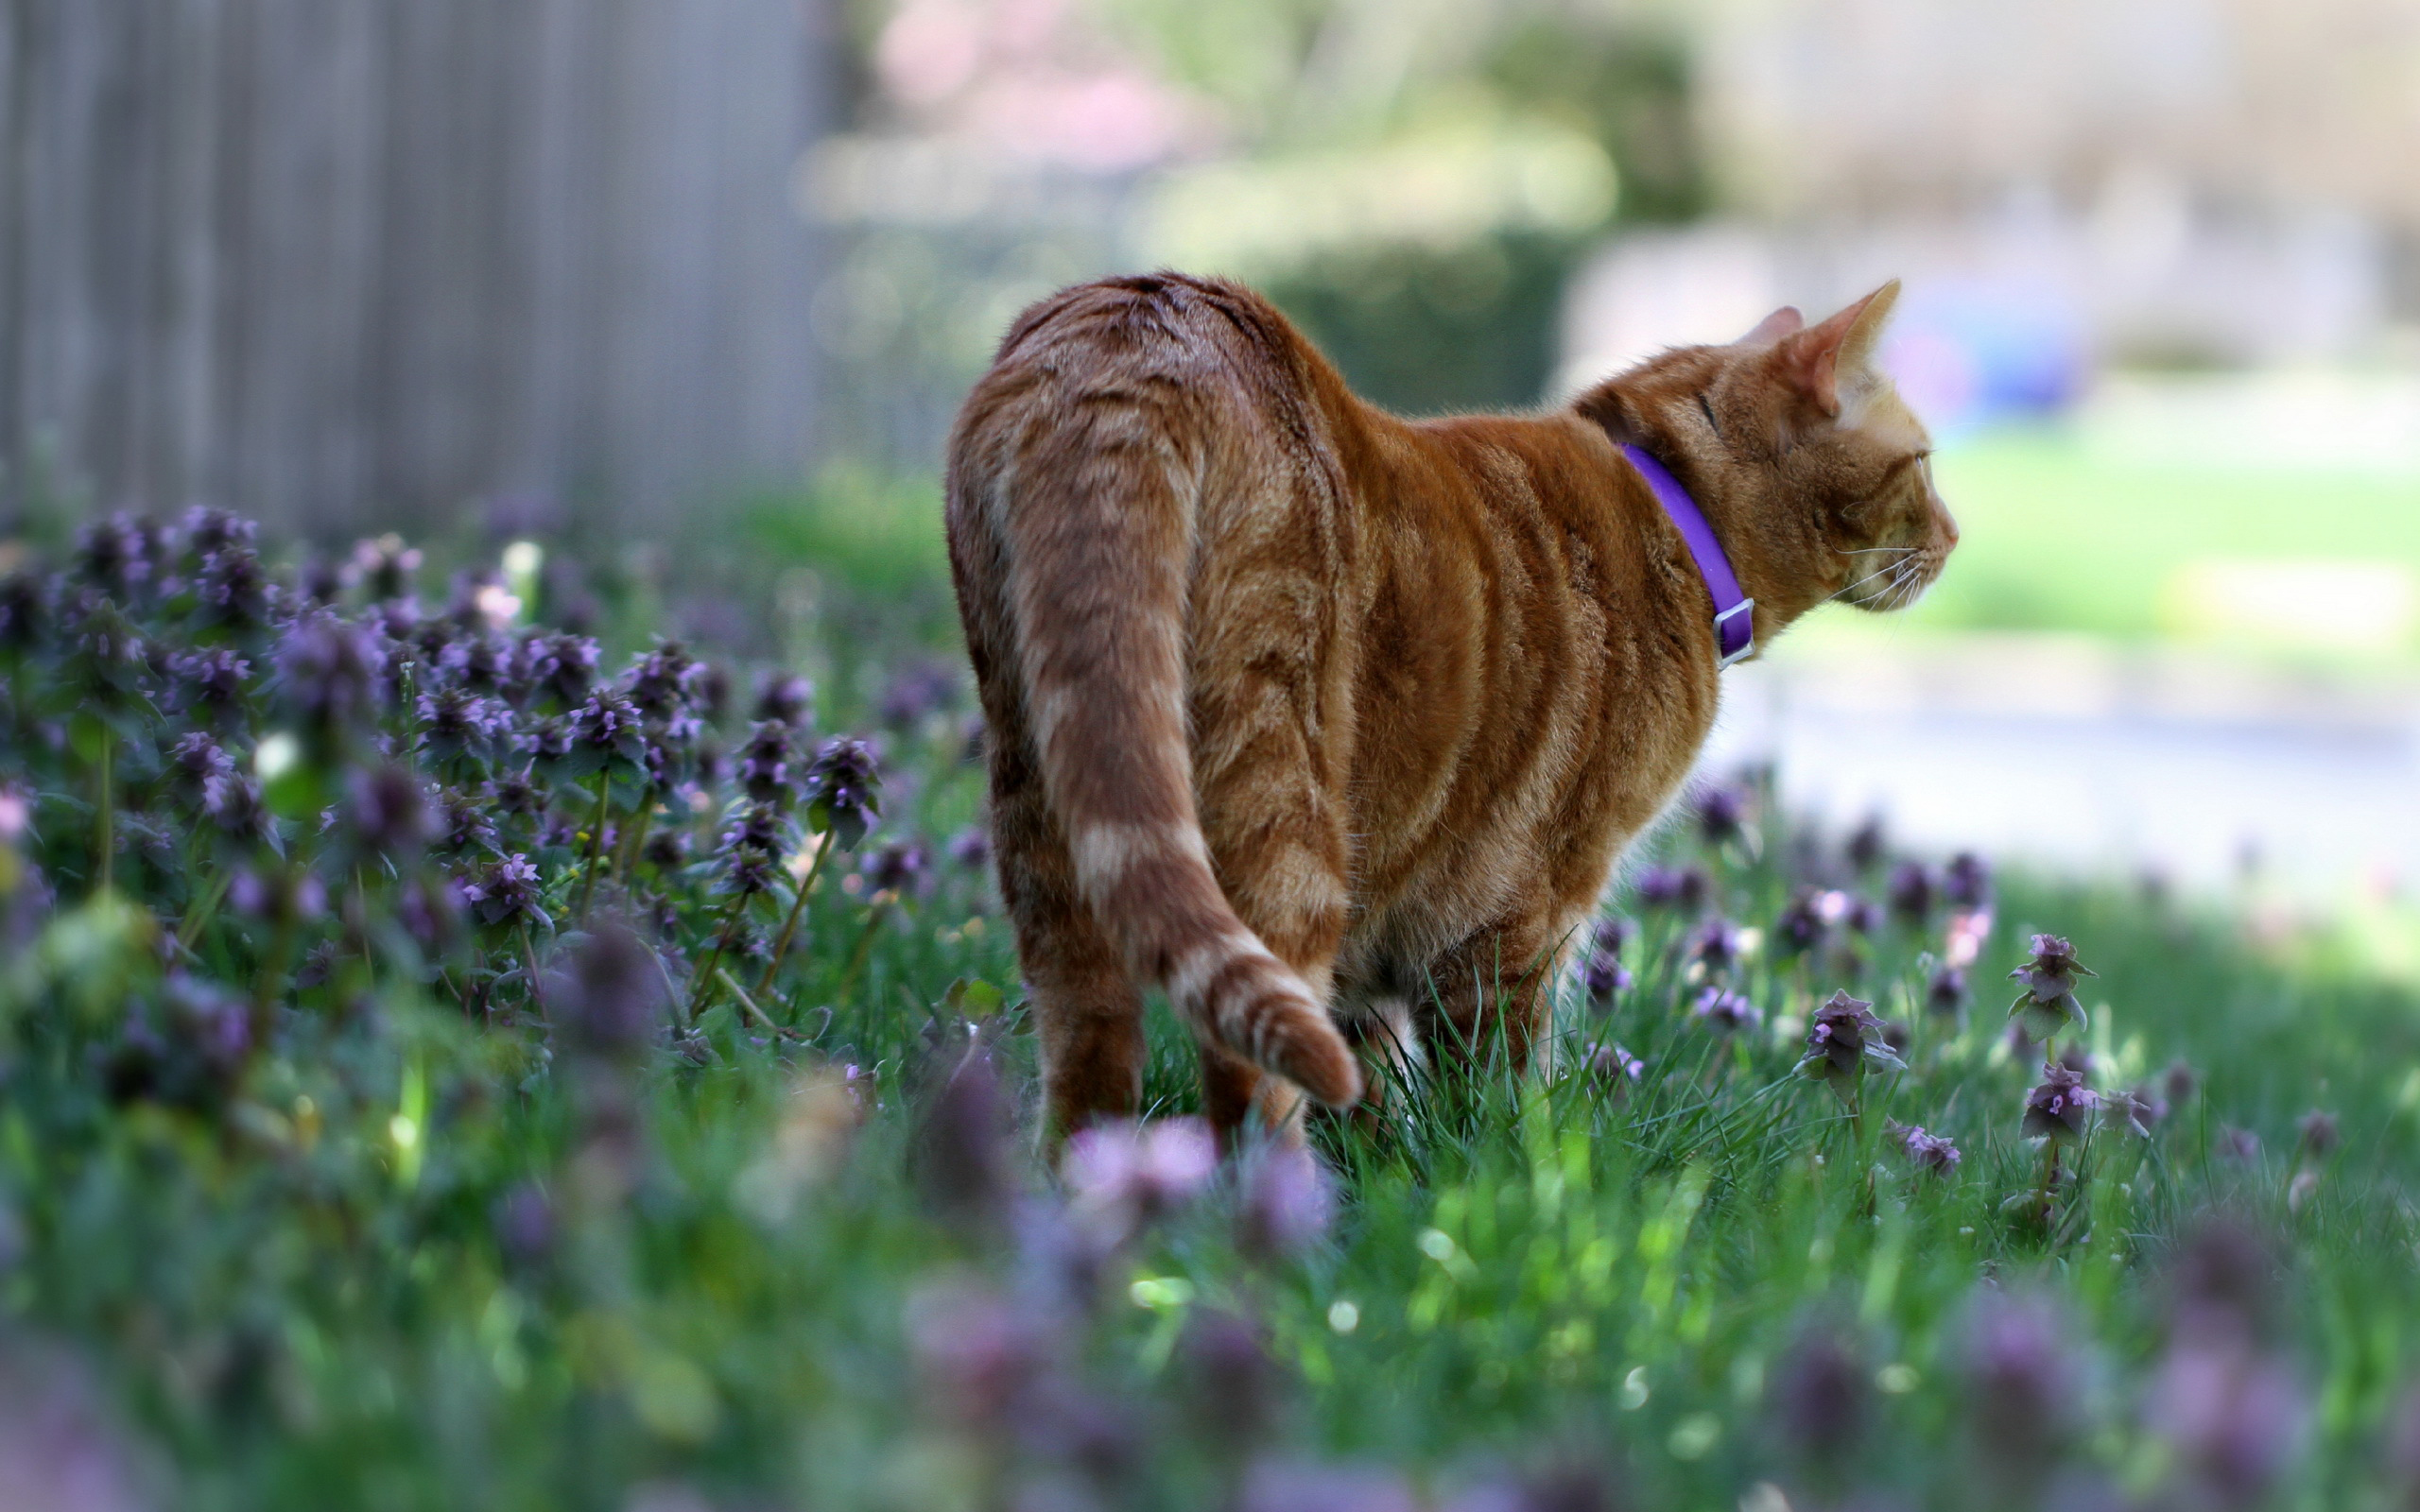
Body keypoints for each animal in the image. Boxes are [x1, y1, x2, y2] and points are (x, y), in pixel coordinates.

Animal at [939, 274, 1945, 1142]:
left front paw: (1390, 1162)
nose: (1956, 535)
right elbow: (1499, 1083)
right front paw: (1520, 1178)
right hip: (1282, 804)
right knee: (1254, 1073)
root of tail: (1125, 339)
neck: (1673, 509)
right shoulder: (1522, 907)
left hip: (1058, 797)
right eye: (1928, 465)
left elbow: (1378, 1080)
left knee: (1091, 1050)